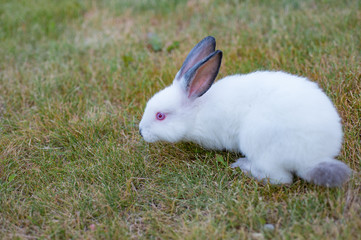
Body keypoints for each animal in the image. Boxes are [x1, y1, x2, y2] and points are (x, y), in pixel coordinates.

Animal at [138, 35, 348, 187]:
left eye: (160, 116)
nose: (141, 131)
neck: (197, 109)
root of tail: (315, 158)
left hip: (258, 143)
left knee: (281, 179)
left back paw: (243, 166)